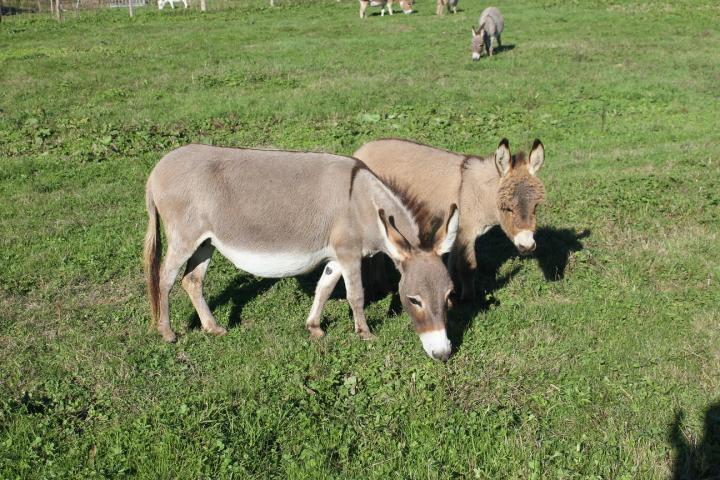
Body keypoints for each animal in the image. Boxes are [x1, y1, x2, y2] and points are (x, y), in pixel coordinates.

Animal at [143, 145, 458, 360]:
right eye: (413, 300)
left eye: (449, 295)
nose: (442, 354)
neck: (363, 202)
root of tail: (156, 170)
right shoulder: (349, 254)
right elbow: (356, 296)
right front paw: (365, 334)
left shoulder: (335, 257)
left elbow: (324, 288)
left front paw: (315, 327)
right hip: (184, 238)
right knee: (165, 279)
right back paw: (168, 333)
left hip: (205, 242)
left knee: (192, 281)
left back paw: (213, 328)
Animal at [354, 138, 544, 300]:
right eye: (507, 208)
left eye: (536, 206)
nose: (527, 246)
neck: (477, 192)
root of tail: (359, 152)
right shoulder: (465, 232)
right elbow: (468, 266)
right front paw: (469, 300)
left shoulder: (454, 231)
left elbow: (452, 262)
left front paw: (451, 291)